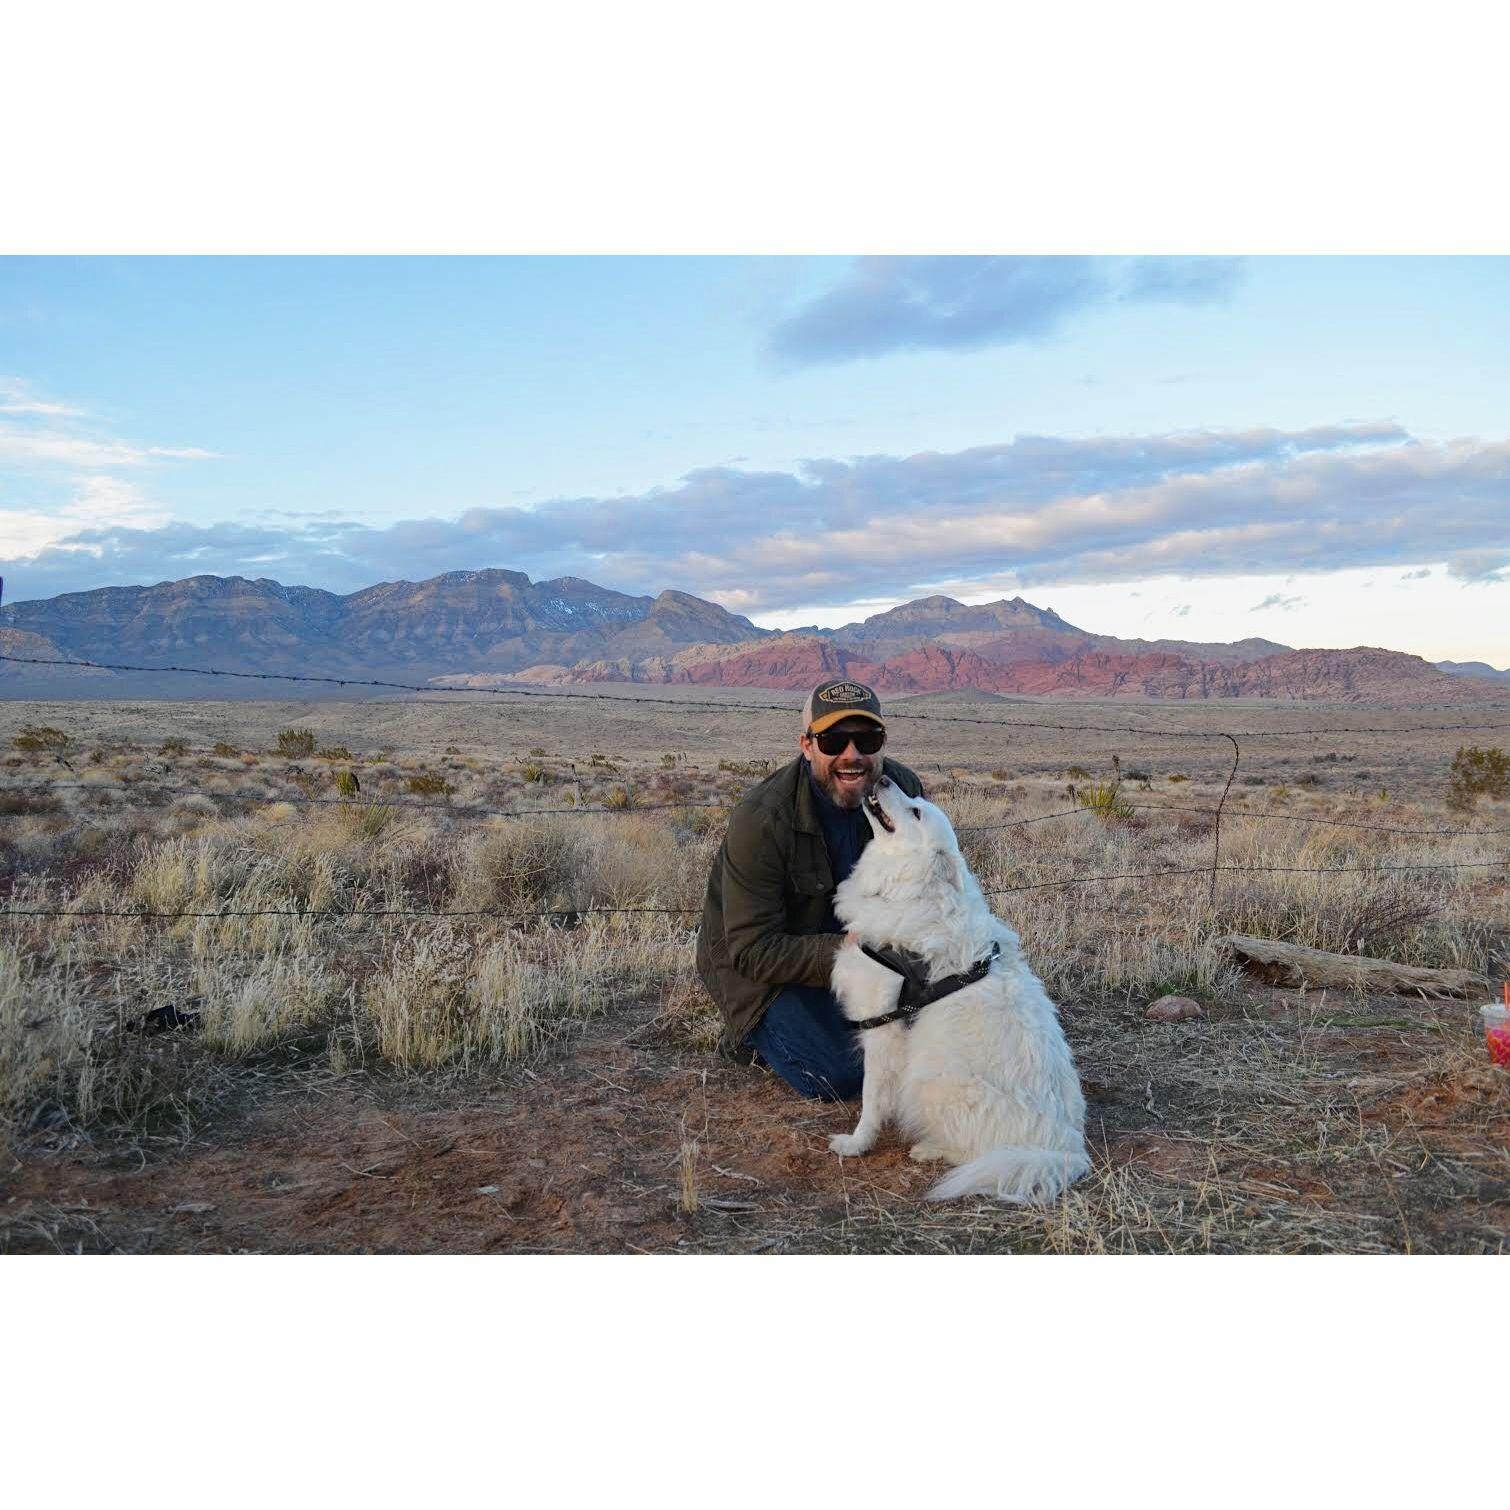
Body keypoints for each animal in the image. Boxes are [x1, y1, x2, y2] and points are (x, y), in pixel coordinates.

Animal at [833, 779, 1093, 1201]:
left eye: (916, 811)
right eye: (914, 799)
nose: (883, 778)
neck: (913, 889)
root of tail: (1068, 1150)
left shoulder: (883, 1027)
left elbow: (871, 1098)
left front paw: (856, 1144)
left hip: (932, 1078)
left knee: (974, 1154)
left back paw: (929, 1149)